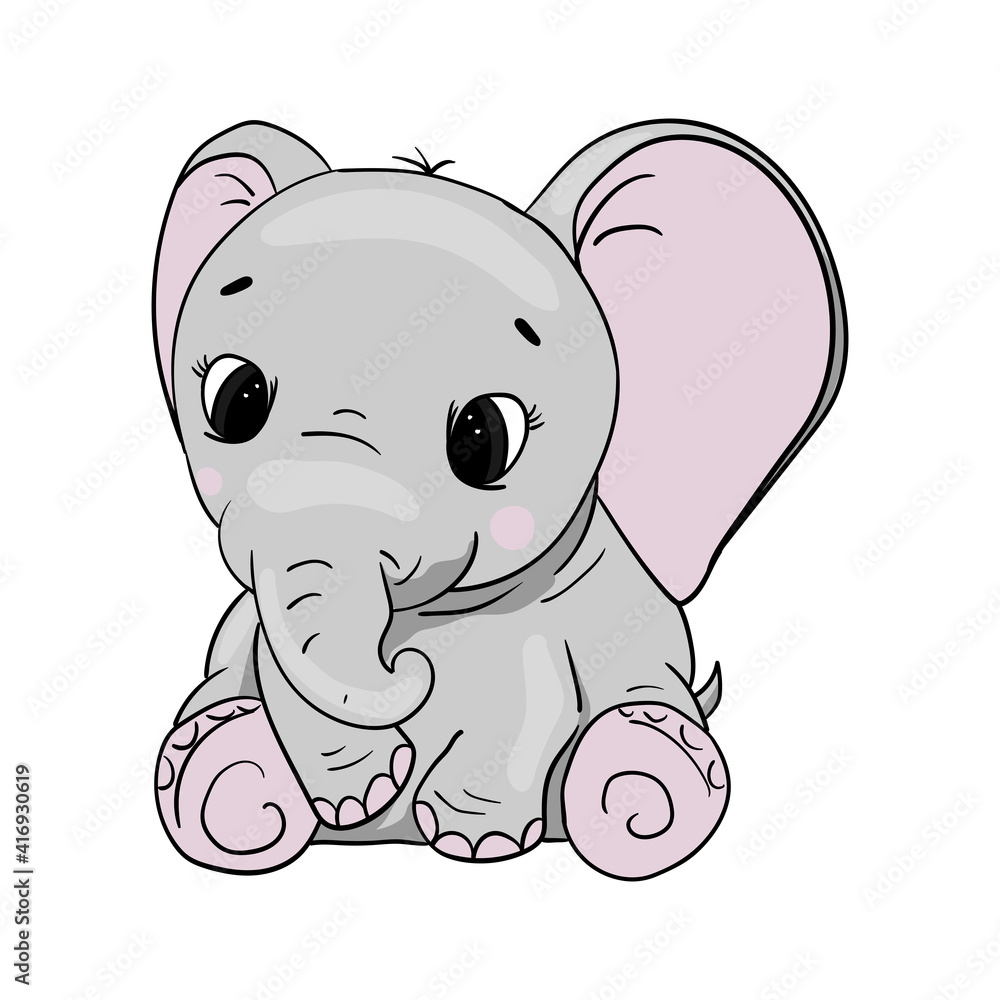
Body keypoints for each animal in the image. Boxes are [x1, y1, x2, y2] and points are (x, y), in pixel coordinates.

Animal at [152, 119, 846, 880]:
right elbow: (281, 673)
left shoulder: (545, 627)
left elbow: (529, 702)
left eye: (482, 436)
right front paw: (356, 796)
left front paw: (476, 843)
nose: (404, 667)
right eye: (234, 399)